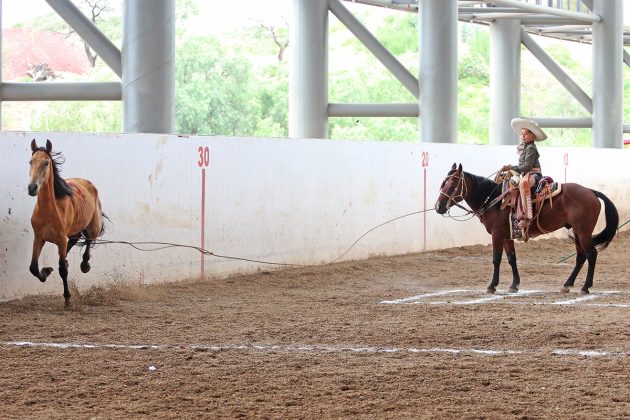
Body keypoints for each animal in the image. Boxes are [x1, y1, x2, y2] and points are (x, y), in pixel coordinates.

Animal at [27, 139, 105, 306]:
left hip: (93, 226)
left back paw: (85, 265)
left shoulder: (62, 239)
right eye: (31, 161)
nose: (32, 188)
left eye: (46, 163)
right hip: (72, 232)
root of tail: (88, 183)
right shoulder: (39, 238)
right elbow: (33, 268)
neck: (50, 210)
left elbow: (63, 270)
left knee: (89, 240)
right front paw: (47, 271)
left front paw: (67, 298)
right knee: (75, 241)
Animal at [436, 163, 620, 296]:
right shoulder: (507, 236)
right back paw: (566, 285)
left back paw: (585, 287)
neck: (494, 199)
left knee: (591, 254)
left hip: (583, 232)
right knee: (581, 257)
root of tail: (591, 191)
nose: (438, 207)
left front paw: (491, 286)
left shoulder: (497, 234)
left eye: (452, 185)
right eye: (443, 183)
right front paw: (514, 285)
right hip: (576, 231)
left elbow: (496, 259)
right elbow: (512, 258)